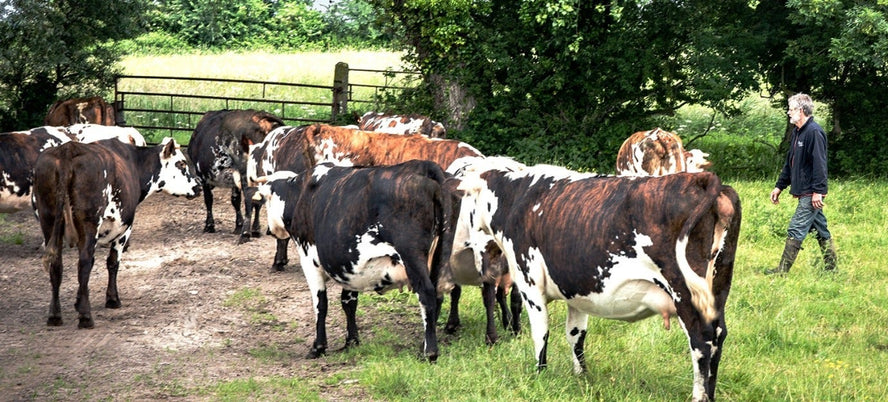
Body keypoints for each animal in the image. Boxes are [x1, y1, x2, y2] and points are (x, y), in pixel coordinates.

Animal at [31, 137, 201, 329]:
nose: (199, 186)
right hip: (89, 223)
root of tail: (68, 149)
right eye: (181, 163)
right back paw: (85, 316)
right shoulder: (124, 228)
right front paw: (112, 299)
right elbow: (112, 262)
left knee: (56, 264)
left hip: (49, 221)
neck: (135, 163)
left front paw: (78, 300)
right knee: (83, 264)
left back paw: (54, 315)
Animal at [187, 109, 284, 242]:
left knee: (252, 199)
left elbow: (208, 199)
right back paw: (260, 229)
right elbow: (235, 200)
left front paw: (209, 225)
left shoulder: (203, 175)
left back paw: (246, 233)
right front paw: (238, 225)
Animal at [258, 160, 451, 361]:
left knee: (427, 294)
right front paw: (351, 341)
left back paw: (430, 352)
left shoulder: (309, 260)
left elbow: (320, 304)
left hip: (412, 256)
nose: (269, 231)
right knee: (438, 295)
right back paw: (423, 345)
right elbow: (348, 302)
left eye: (266, 200)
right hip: (438, 257)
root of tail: (422, 166)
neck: (300, 194)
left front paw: (318, 347)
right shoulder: (349, 266)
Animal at [455, 163, 741, 402]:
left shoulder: (529, 283)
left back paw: (699, 396)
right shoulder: (576, 289)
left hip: (684, 292)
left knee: (701, 340)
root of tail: (702, 179)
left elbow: (540, 332)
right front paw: (581, 375)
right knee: (718, 336)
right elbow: (575, 334)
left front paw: (540, 373)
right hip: (717, 289)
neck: (516, 198)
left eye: (466, 200)